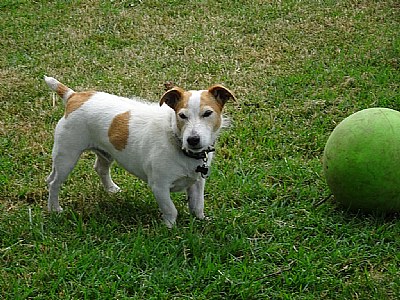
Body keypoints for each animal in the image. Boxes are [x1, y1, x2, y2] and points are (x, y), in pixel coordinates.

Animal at [43, 77, 234, 227]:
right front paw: (169, 228)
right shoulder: (159, 186)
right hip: (67, 156)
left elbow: (198, 205)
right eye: (182, 115)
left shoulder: (198, 182)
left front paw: (202, 220)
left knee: (100, 169)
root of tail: (73, 96)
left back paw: (111, 189)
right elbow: (171, 209)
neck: (177, 141)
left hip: (104, 152)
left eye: (207, 113)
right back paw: (54, 208)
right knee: (54, 182)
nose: (193, 139)